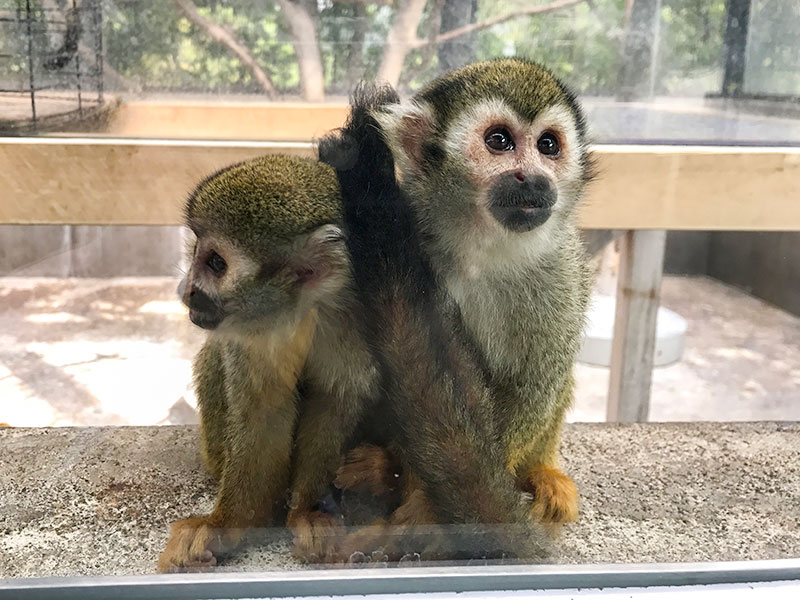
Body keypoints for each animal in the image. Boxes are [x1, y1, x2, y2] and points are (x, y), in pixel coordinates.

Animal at [324, 59, 592, 552]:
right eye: (499, 141)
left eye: (548, 145)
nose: (534, 176)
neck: (480, 247)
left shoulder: (560, 268)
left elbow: (534, 383)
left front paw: (432, 512)